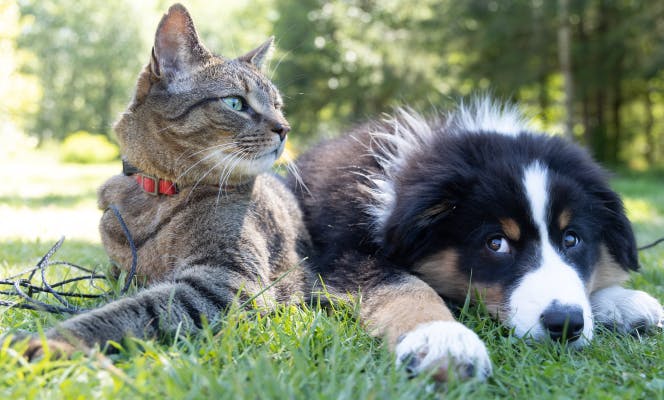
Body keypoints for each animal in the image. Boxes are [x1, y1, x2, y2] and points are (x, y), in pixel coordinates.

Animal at [20, 3, 312, 358]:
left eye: (278, 106)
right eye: (235, 103)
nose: (285, 128)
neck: (158, 194)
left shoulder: (227, 280)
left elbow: (131, 310)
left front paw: (54, 340)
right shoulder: (122, 273)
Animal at [292, 97, 664, 382]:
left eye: (572, 239)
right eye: (496, 243)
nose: (565, 324)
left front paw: (621, 301)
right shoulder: (341, 253)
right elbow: (403, 285)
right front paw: (442, 339)